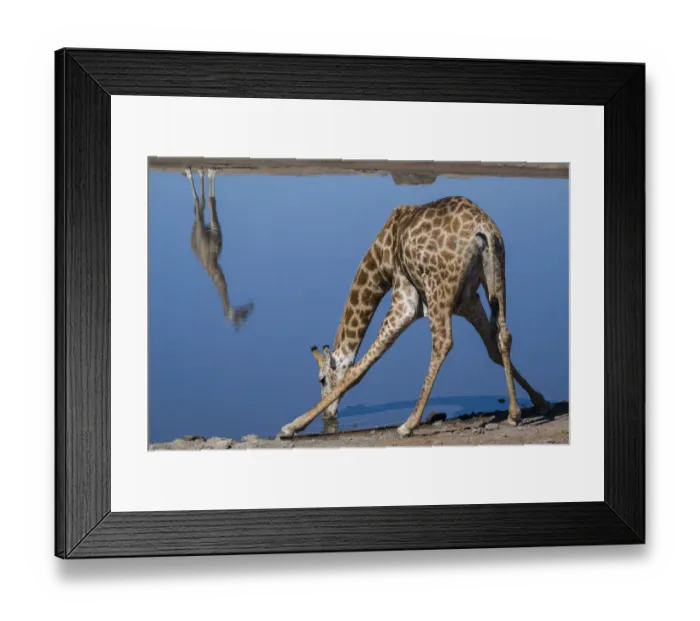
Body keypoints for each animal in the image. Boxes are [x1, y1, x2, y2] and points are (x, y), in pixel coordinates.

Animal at [185, 167, 254, 330]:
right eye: (239, 320)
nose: (248, 308)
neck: (214, 261)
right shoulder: (214, 229)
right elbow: (211, 200)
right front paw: (210, 171)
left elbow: (210, 200)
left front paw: (209, 171)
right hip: (199, 226)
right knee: (199, 204)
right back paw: (190, 172)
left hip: (198, 226)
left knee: (200, 205)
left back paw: (199, 172)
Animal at [280, 196, 550, 439]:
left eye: (321, 379)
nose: (329, 417)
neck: (381, 260)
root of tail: (482, 227)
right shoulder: (467, 301)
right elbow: (492, 348)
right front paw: (539, 401)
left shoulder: (405, 299)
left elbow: (360, 367)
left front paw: (292, 426)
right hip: (496, 277)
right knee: (504, 334)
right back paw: (514, 413)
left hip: (439, 290)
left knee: (442, 343)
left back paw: (408, 424)